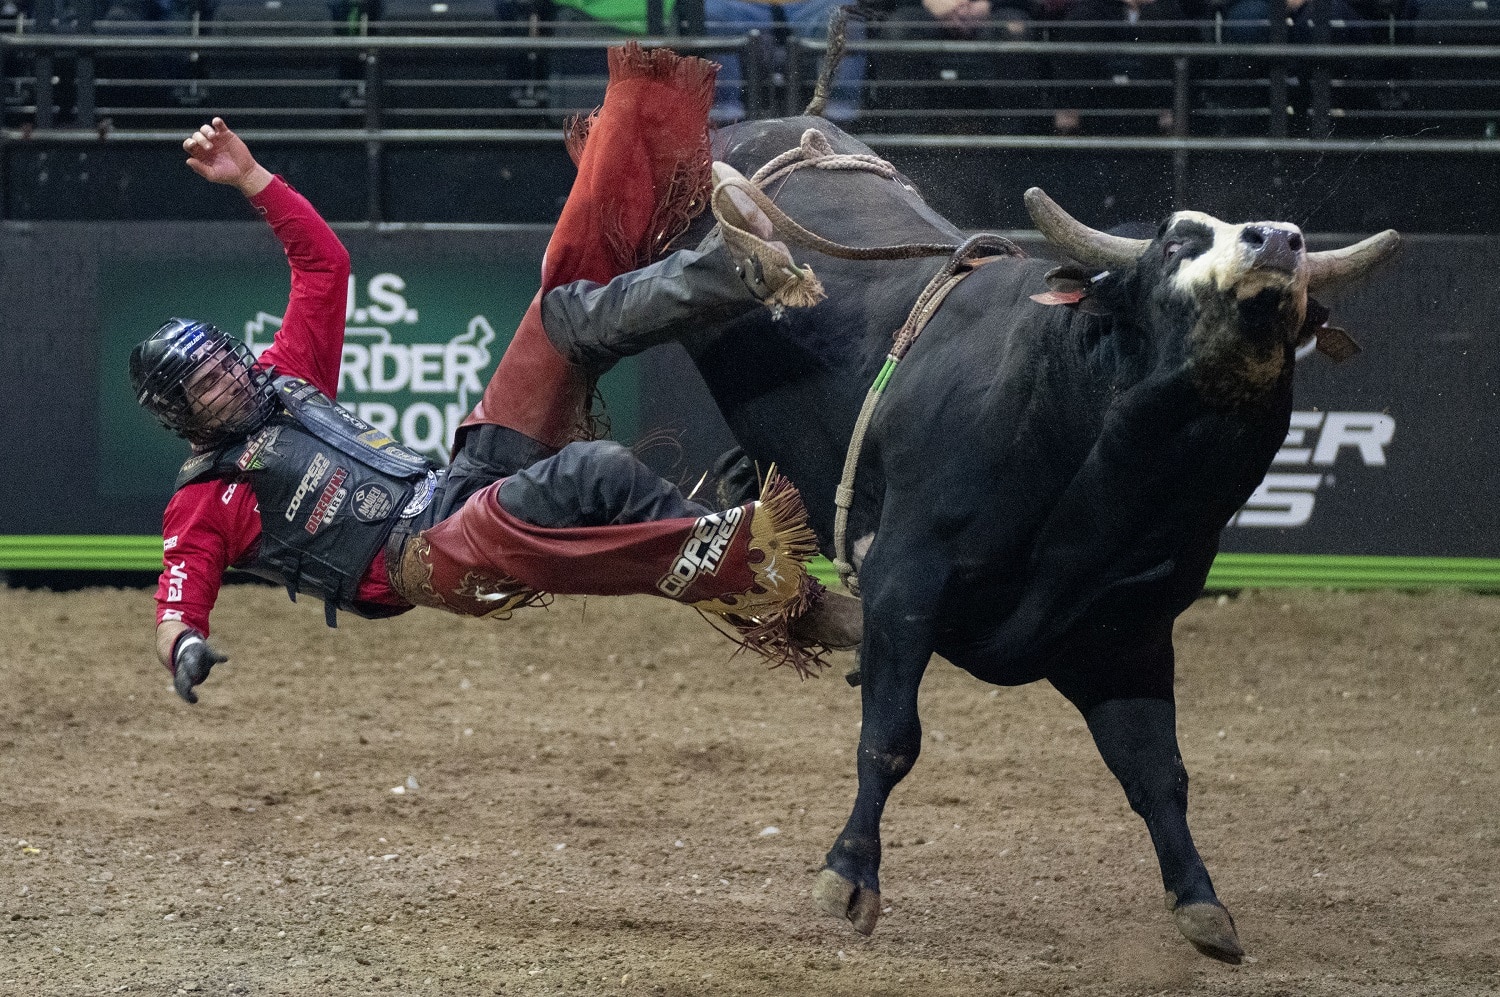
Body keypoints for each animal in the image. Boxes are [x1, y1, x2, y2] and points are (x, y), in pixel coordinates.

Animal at [669, 118, 1392, 965]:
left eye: (1301, 249)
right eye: (1176, 243)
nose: (1276, 239)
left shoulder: (1128, 637)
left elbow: (1157, 773)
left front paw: (1201, 901)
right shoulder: (907, 583)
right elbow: (890, 737)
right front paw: (848, 875)